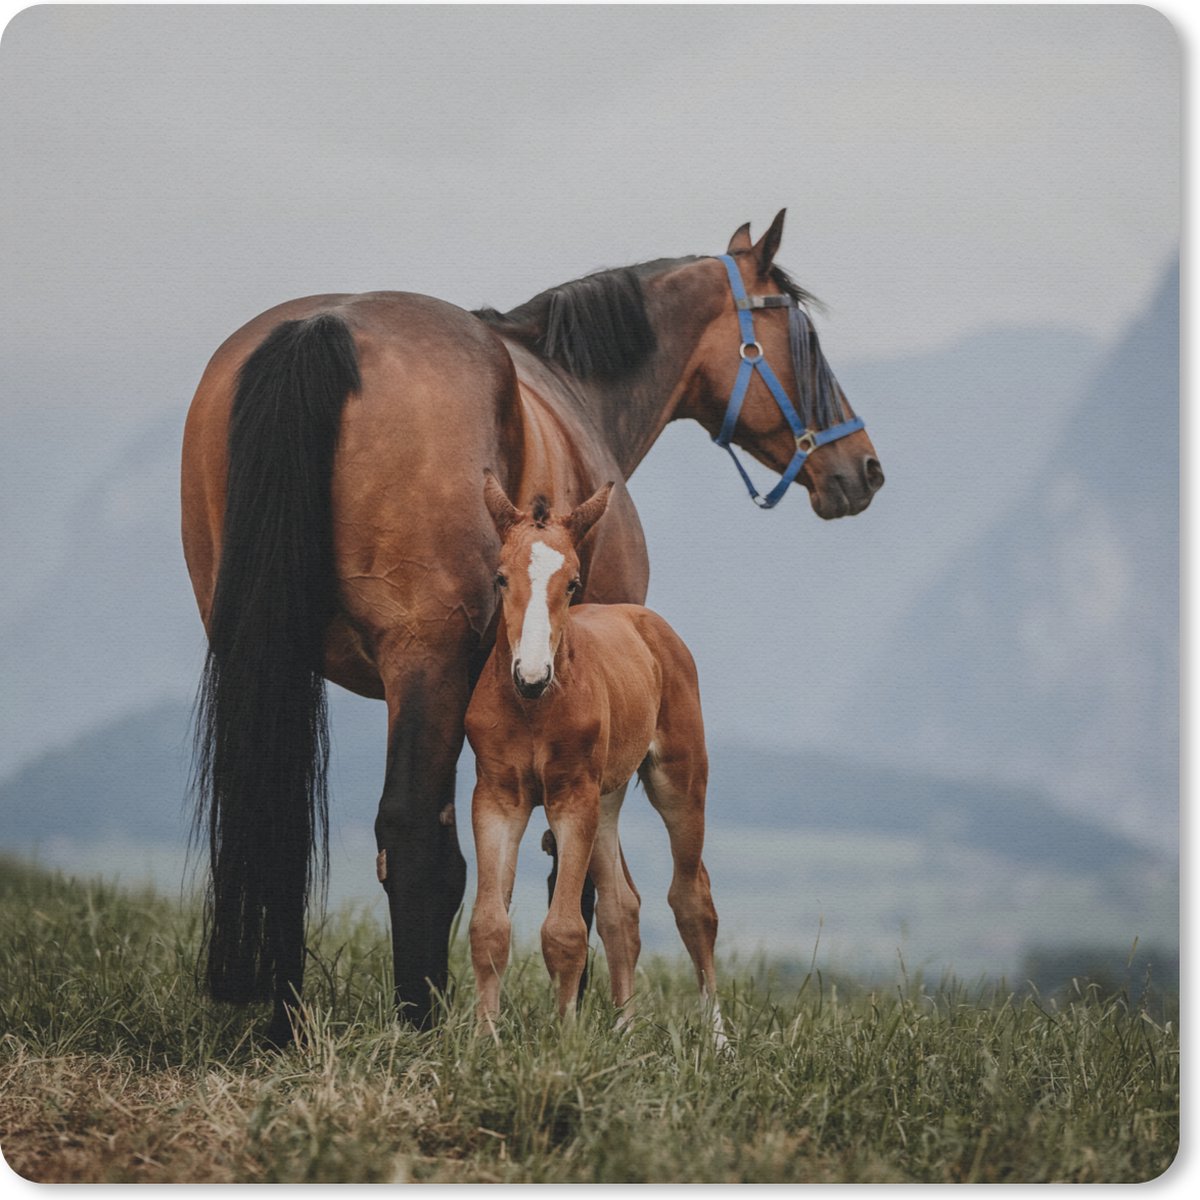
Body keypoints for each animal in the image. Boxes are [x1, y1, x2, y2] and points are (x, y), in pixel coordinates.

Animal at [467, 473, 721, 1038]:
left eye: (573, 583)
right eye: (500, 578)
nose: (531, 674)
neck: (532, 709)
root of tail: (645, 620)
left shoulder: (570, 797)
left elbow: (564, 930)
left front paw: (564, 1040)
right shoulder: (497, 797)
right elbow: (489, 925)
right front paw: (484, 1040)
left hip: (678, 782)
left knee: (693, 900)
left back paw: (719, 1040)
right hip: (607, 798)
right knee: (621, 908)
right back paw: (624, 1030)